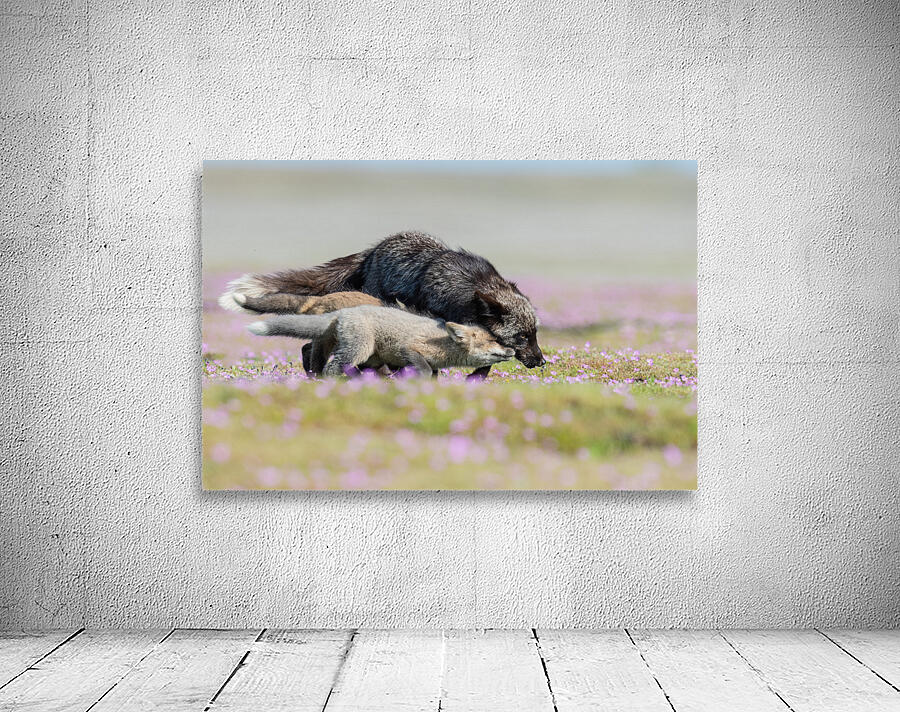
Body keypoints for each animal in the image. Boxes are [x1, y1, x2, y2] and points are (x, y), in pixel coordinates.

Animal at [247, 305, 516, 377]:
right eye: (494, 340)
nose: (513, 350)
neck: (444, 345)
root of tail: (345, 312)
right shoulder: (410, 348)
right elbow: (425, 370)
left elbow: (432, 375)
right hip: (360, 349)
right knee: (334, 367)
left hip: (368, 357)